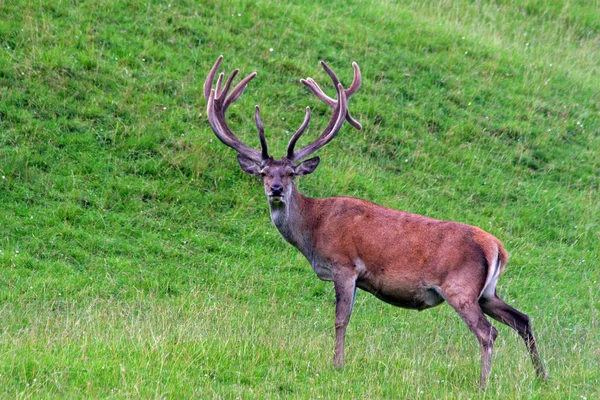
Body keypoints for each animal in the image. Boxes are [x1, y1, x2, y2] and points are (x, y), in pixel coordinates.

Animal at [205, 54, 548, 390]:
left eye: (291, 173)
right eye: (264, 173)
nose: (276, 190)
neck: (313, 230)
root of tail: (497, 247)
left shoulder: (344, 266)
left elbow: (340, 319)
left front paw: (336, 365)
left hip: (460, 287)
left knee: (488, 333)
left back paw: (483, 385)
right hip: (487, 292)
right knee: (523, 319)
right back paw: (542, 378)